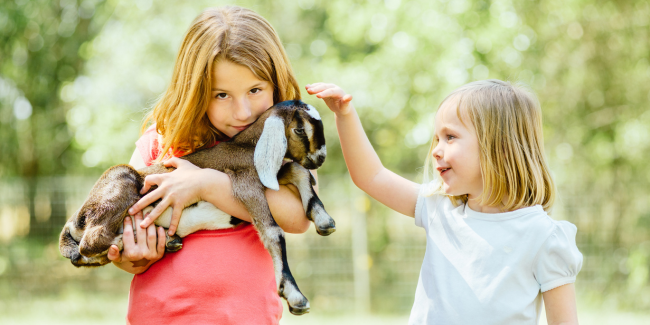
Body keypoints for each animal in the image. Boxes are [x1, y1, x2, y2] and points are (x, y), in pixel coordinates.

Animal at [57, 99, 334, 314]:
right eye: (300, 130)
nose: (320, 159)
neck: (246, 146)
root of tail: (73, 220)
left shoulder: (273, 175)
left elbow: (298, 171)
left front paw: (323, 220)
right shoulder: (245, 183)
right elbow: (274, 232)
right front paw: (295, 296)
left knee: (81, 256)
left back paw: (166, 241)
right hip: (119, 182)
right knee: (90, 242)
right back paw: (135, 235)